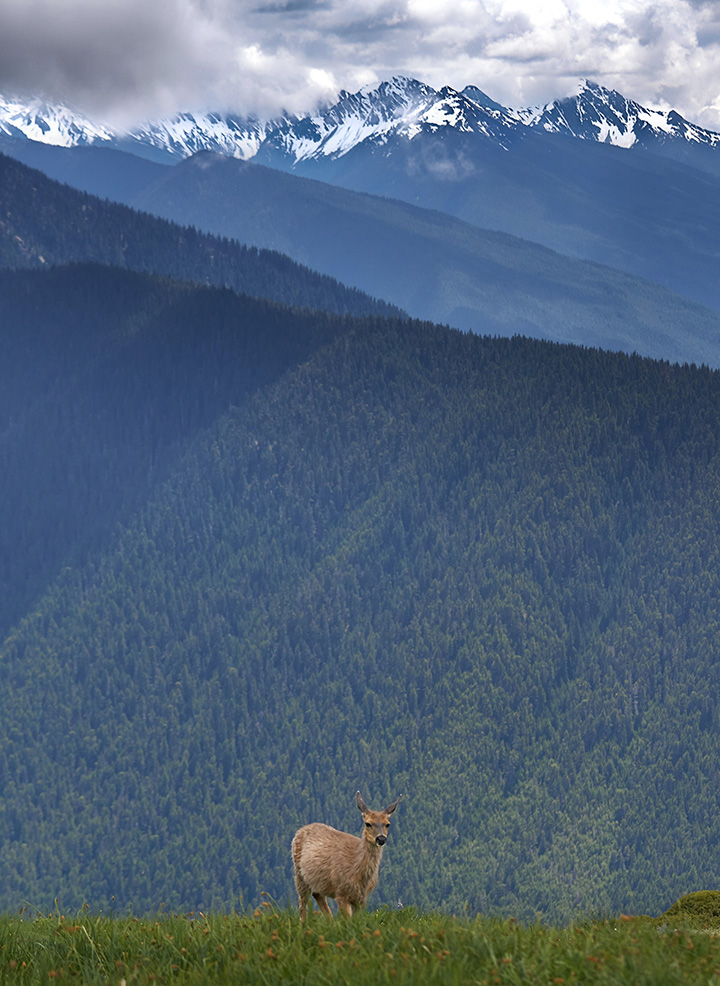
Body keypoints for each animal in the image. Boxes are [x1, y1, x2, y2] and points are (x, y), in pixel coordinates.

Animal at [291, 791, 402, 920]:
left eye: (387, 824)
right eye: (368, 824)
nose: (381, 839)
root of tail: (300, 830)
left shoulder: (362, 898)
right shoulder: (341, 893)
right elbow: (347, 921)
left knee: (317, 894)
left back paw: (331, 921)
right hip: (299, 873)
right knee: (302, 902)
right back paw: (303, 923)